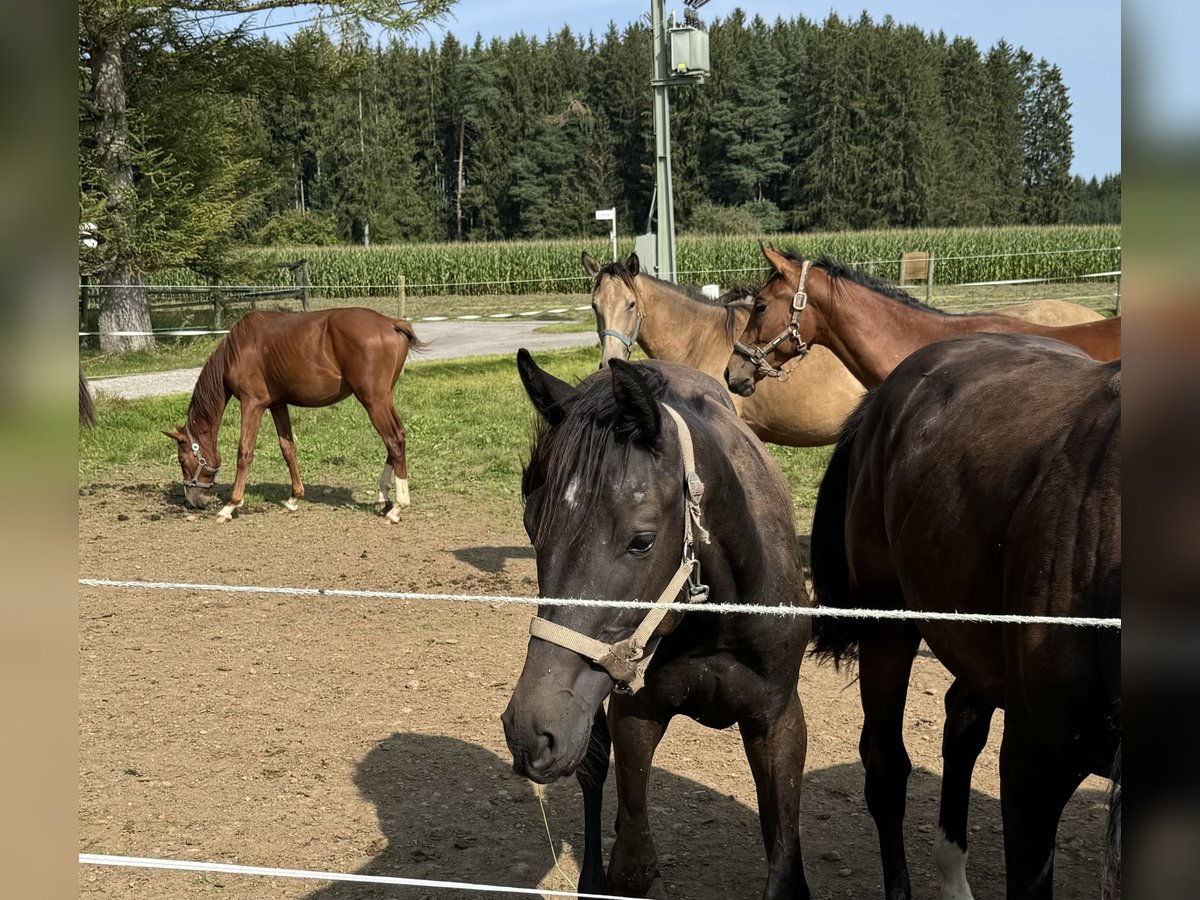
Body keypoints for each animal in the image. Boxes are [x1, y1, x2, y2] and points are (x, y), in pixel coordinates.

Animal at [159, 309, 422, 520]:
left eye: (183, 460)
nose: (193, 500)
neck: (238, 349)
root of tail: (391, 323)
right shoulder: (278, 405)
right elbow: (288, 449)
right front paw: (294, 498)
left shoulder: (252, 404)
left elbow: (245, 452)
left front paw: (230, 505)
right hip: (384, 399)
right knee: (397, 440)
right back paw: (383, 498)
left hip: (373, 401)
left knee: (394, 440)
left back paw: (397, 508)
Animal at [501, 352, 820, 900]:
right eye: (530, 526)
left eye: (641, 541)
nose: (529, 730)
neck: (717, 625)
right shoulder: (634, 714)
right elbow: (632, 862)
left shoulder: (777, 721)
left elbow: (783, 859)